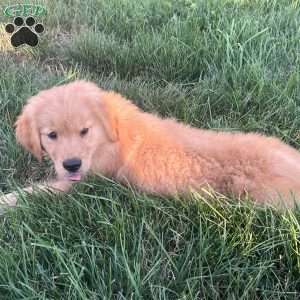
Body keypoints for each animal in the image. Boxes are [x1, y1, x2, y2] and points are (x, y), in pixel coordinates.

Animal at [1, 81, 300, 209]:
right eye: (51, 135)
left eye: (84, 131)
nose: (71, 164)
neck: (110, 135)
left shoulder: (86, 181)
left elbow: (36, 192)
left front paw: (7, 201)